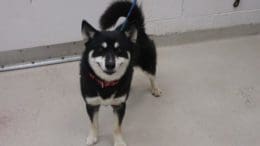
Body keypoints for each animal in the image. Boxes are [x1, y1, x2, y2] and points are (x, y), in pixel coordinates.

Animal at [79, 1, 160, 146]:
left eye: (119, 50)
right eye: (100, 49)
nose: (110, 64)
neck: (106, 83)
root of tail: (136, 24)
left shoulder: (119, 106)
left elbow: (116, 127)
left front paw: (118, 141)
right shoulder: (91, 103)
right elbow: (93, 123)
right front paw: (93, 137)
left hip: (147, 63)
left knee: (152, 75)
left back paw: (155, 88)